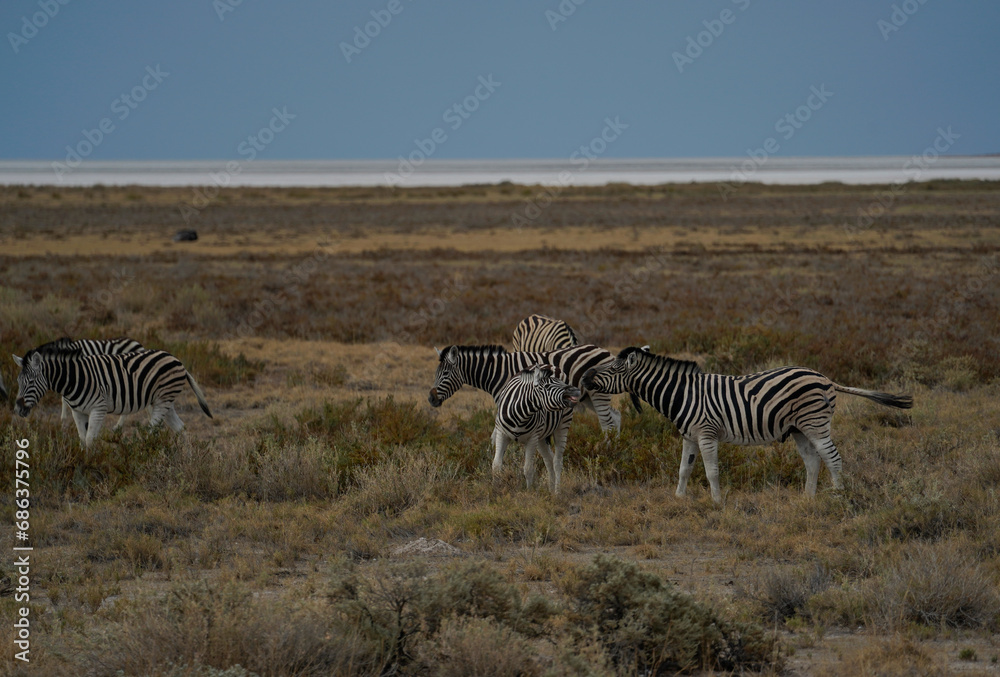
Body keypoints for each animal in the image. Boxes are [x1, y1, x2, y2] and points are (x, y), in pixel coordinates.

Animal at [12, 341, 212, 448]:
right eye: (18, 382)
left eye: (30, 382)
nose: (18, 410)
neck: (75, 378)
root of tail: (176, 359)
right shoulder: (78, 411)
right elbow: (82, 439)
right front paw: (82, 462)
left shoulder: (98, 409)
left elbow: (90, 439)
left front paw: (90, 465)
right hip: (164, 402)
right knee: (181, 428)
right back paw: (187, 458)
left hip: (163, 400)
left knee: (152, 431)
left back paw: (144, 454)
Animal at [582, 346, 913, 503]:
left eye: (612, 368)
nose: (585, 377)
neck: (684, 394)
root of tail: (827, 378)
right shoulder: (689, 436)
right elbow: (684, 469)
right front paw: (678, 498)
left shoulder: (706, 433)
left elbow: (711, 471)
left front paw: (716, 502)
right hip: (799, 429)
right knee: (813, 461)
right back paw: (807, 498)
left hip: (816, 423)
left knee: (832, 458)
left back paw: (838, 496)